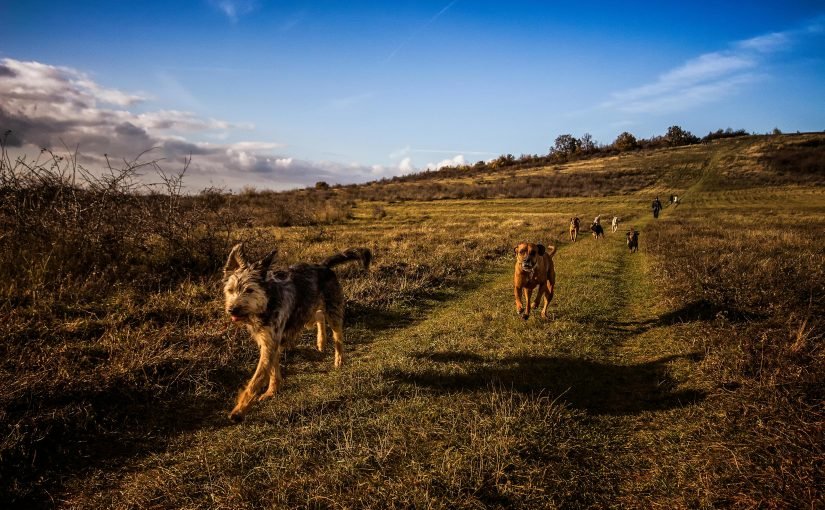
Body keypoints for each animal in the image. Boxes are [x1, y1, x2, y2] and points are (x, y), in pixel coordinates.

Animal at [222, 243, 370, 422]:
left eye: (249, 290)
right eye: (230, 290)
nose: (232, 309)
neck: (267, 303)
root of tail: (322, 265)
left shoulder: (271, 342)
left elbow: (256, 380)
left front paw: (239, 411)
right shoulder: (268, 341)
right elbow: (272, 369)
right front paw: (272, 390)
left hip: (332, 310)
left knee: (338, 336)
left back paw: (339, 359)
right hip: (306, 314)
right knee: (319, 315)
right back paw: (321, 342)